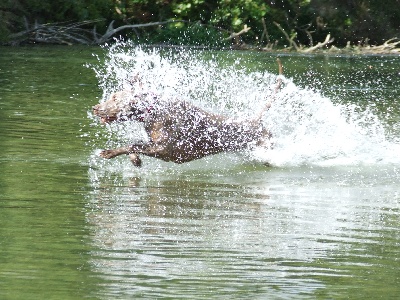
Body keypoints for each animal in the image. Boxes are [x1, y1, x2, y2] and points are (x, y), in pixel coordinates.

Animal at [92, 59, 282, 166]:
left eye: (114, 98)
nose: (95, 108)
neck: (152, 111)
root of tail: (257, 120)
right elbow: (133, 145)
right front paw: (135, 160)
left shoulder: (165, 149)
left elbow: (131, 145)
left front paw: (108, 153)